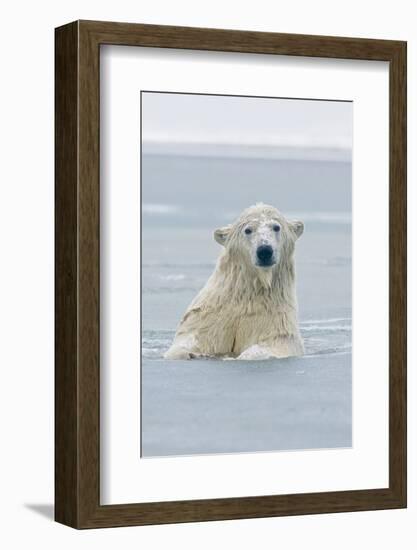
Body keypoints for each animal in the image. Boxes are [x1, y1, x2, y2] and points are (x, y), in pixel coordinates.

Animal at [164, 203, 304, 362]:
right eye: (248, 230)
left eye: (276, 227)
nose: (264, 250)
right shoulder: (210, 316)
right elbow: (193, 338)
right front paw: (190, 353)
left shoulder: (276, 319)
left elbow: (275, 342)